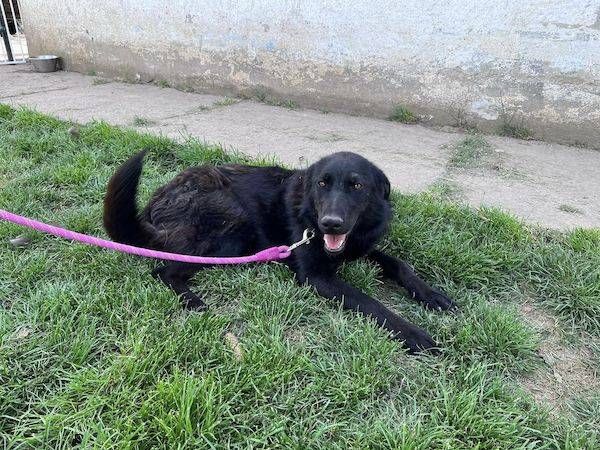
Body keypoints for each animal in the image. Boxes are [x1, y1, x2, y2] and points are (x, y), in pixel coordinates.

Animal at [103, 151, 455, 353]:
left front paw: (432, 295)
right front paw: (413, 334)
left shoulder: (361, 245)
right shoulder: (316, 276)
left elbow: (399, 263)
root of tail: (154, 206)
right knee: (164, 269)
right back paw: (194, 302)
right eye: (322, 184)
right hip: (233, 226)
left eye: (357, 186)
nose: (331, 223)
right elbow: (371, 303)